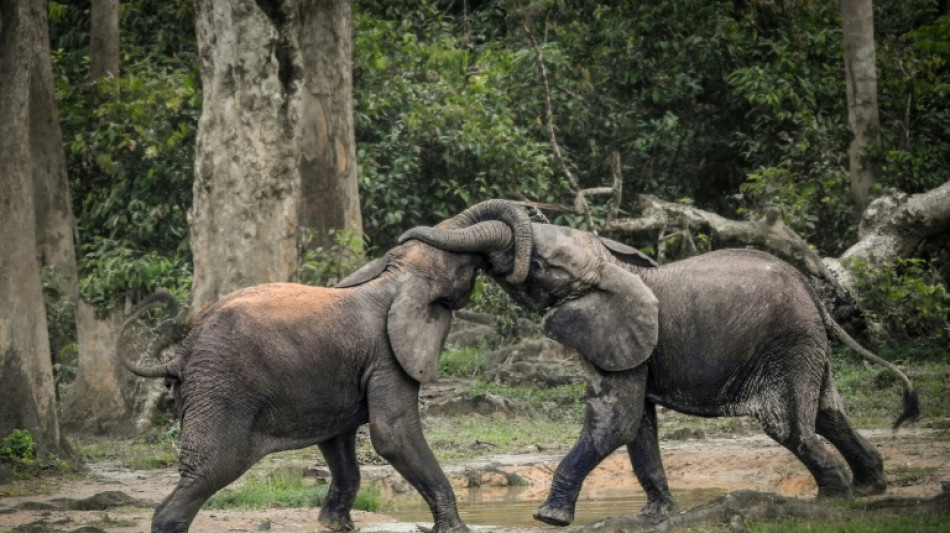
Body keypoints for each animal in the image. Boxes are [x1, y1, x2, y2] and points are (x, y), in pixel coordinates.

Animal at [116, 211, 532, 533]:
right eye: (462, 266)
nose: (504, 264)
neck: (394, 277)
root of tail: (182, 352)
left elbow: (338, 442)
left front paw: (336, 525)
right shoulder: (387, 355)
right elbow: (393, 435)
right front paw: (457, 529)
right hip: (222, 391)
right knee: (211, 469)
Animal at [400, 199, 920, 527]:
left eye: (542, 265)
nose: (406, 236)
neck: (616, 267)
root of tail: (816, 296)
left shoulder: (617, 337)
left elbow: (616, 419)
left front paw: (547, 518)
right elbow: (638, 426)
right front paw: (656, 516)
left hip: (788, 343)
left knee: (790, 426)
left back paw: (831, 500)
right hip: (808, 345)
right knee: (829, 413)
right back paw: (870, 488)